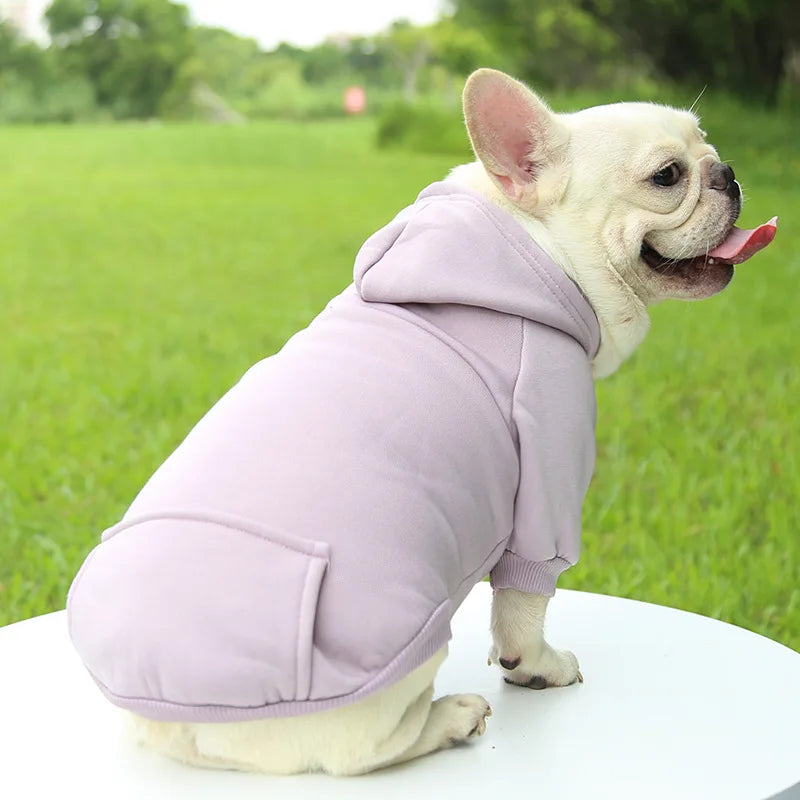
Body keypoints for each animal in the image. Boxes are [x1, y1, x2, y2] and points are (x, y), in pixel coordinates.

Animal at [67, 70, 776, 776]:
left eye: (708, 145)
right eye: (667, 176)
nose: (727, 171)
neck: (531, 240)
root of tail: (170, 712)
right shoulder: (548, 460)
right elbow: (524, 606)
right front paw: (538, 668)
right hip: (405, 643)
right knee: (362, 750)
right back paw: (450, 719)